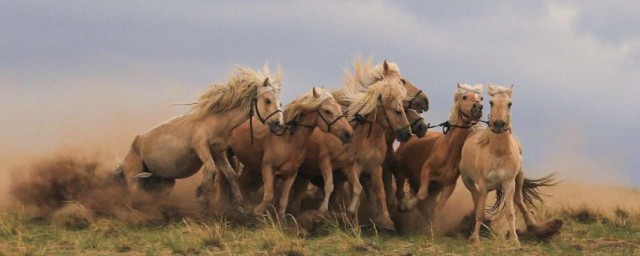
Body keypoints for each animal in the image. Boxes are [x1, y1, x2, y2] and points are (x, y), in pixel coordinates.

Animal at [122, 65, 284, 213]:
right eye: (268, 100)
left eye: (280, 103)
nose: (279, 125)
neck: (214, 121)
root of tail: (135, 143)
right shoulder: (200, 146)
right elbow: (210, 168)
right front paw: (202, 199)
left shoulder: (218, 151)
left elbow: (230, 173)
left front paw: (238, 204)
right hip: (134, 178)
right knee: (134, 195)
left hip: (164, 181)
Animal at [226, 86, 356, 216]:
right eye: (327, 111)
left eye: (339, 108)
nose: (349, 133)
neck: (288, 141)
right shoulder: (267, 168)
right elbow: (269, 195)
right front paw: (256, 212)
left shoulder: (291, 174)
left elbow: (283, 200)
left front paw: (280, 218)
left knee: (242, 183)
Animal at [392, 83, 482, 229]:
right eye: (464, 97)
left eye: (481, 98)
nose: (478, 108)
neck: (448, 151)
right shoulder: (426, 172)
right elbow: (422, 195)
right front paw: (406, 206)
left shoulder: (448, 185)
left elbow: (439, 208)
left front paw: (434, 228)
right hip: (400, 172)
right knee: (401, 192)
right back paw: (402, 205)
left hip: (433, 189)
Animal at [460, 85, 560, 247]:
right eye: (491, 102)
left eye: (509, 103)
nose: (499, 124)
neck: (498, 153)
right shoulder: (483, 185)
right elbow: (480, 212)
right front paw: (474, 238)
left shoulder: (508, 183)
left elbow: (510, 212)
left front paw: (515, 240)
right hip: (467, 180)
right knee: (476, 198)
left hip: (519, 179)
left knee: (519, 200)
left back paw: (533, 226)